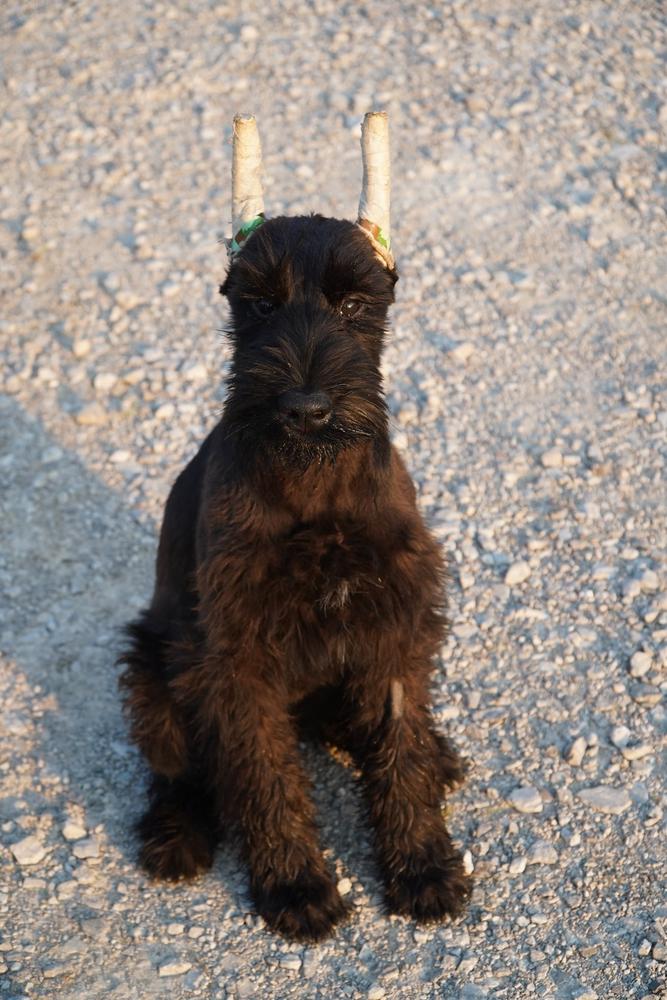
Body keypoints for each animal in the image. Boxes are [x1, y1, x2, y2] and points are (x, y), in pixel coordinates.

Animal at [121, 113, 474, 940]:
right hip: (154, 667)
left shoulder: (394, 619)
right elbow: (261, 769)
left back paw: (437, 753)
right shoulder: (239, 652)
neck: (313, 483)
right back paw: (175, 835)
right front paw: (295, 887)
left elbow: (399, 748)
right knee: (177, 769)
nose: (305, 409)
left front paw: (423, 868)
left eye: (353, 304)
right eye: (256, 303)